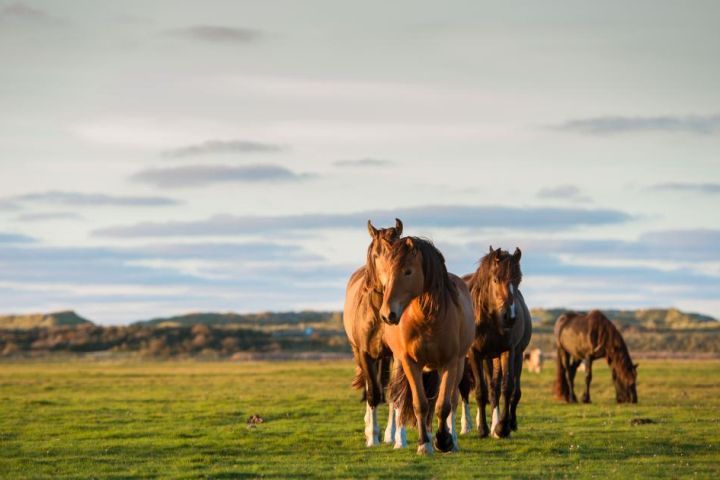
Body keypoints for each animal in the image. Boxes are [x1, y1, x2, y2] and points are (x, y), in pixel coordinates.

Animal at [340, 218, 402, 446]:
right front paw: (372, 437)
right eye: (376, 254)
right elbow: (373, 394)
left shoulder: (395, 355)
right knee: (370, 387)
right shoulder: (365, 354)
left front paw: (394, 437)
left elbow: (393, 393)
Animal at [380, 236, 476, 454]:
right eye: (386, 271)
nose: (387, 314)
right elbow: (421, 404)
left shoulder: (449, 363)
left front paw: (443, 440)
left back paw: (452, 440)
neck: (426, 319)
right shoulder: (410, 363)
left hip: (457, 365)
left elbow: (444, 405)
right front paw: (424, 443)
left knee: (453, 400)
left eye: (408, 271)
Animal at [458, 248, 532, 438]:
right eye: (496, 279)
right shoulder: (475, 354)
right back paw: (466, 425)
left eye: (518, 280)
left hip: (505, 356)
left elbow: (507, 388)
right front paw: (483, 429)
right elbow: (480, 391)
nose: (510, 317)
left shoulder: (508, 351)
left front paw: (501, 427)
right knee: (466, 389)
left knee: (501, 389)